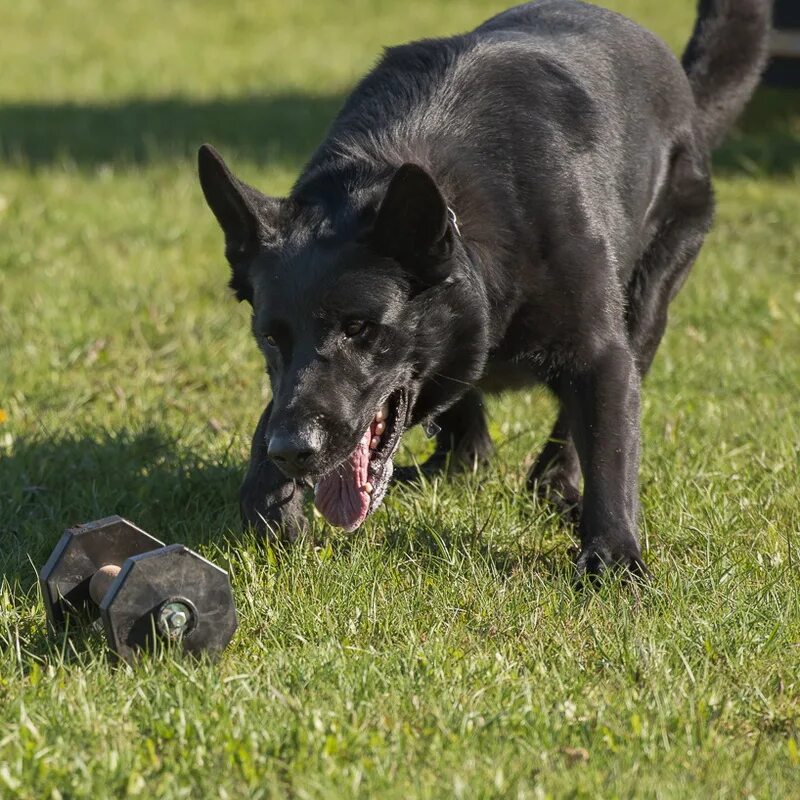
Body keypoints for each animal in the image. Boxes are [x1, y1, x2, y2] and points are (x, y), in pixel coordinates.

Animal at [198, 0, 768, 576]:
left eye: (359, 328)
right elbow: (267, 431)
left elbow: (610, 456)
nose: (292, 451)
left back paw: (558, 490)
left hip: (649, 298)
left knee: (561, 447)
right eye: (271, 339)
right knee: (469, 450)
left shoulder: (603, 356)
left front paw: (614, 560)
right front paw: (274, 503)